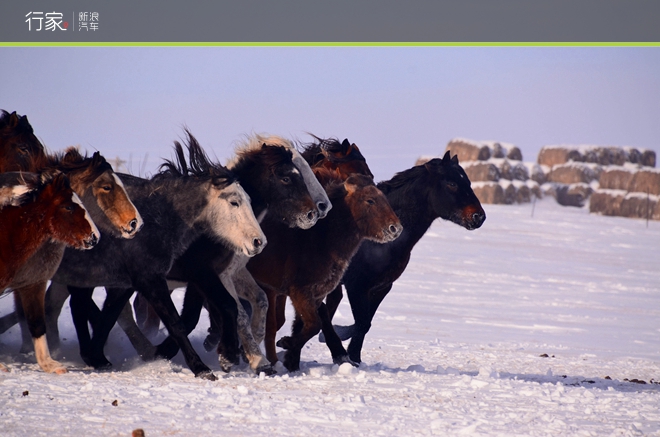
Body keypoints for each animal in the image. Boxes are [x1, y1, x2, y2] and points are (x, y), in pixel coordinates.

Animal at [248, 168, 402, 372]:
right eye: (370, 200)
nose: (395, 228)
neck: (322, 240)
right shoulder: (300, 292)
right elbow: (314, 324)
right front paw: (287, 344)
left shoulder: (315, 295)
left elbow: (305, 325)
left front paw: (291, 358)